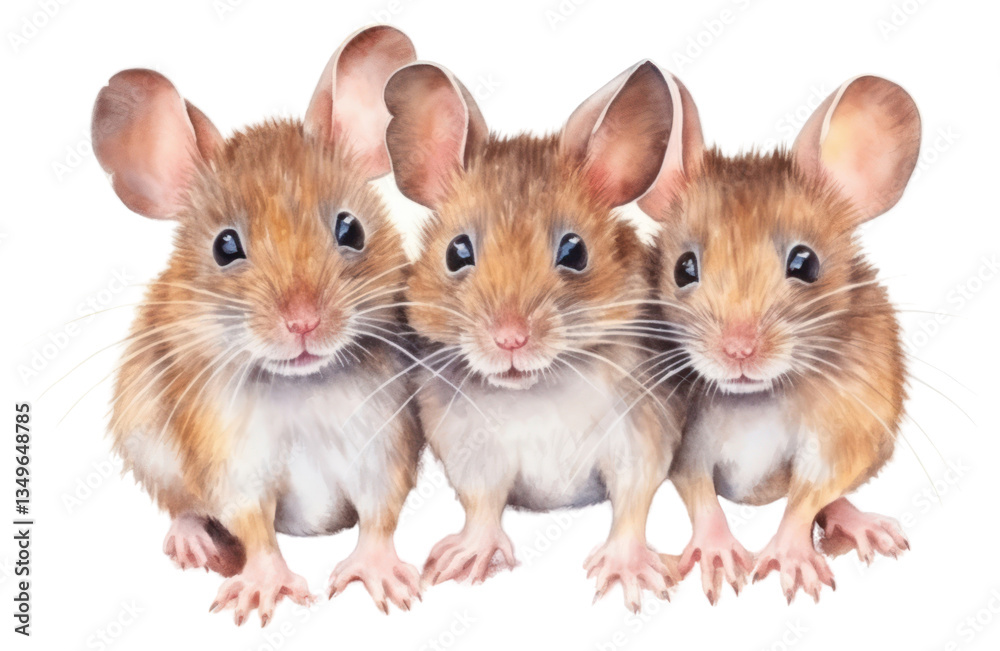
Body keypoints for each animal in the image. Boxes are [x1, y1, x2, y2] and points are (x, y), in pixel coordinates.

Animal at [92, 26, 422, 625]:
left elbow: (380, 515)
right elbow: (255, 529)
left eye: (350, 229)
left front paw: (386, 581)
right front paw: (259, 594)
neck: (300, 388)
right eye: (226, 247)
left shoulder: (384, 444)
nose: (303, 322)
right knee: (182, 506)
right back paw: (192, 542)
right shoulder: (232, 461)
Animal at [382, 60, 685, 611]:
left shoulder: (641, 438)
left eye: (574, 251)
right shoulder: (470, 451)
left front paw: (628, 578)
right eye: (457, 252)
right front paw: (459, 563)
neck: (536, 390)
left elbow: (633, 505)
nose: (510, 340)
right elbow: (482, 507)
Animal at [637, 72, 921, 603]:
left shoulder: (842, 434)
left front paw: (792, 561)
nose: (739, 350)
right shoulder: (687, 446)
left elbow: (808, 497)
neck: (755, 398)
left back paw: (864, 527)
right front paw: (719, 558)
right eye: (684, 268)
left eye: (805, 263)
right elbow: (698, 491)